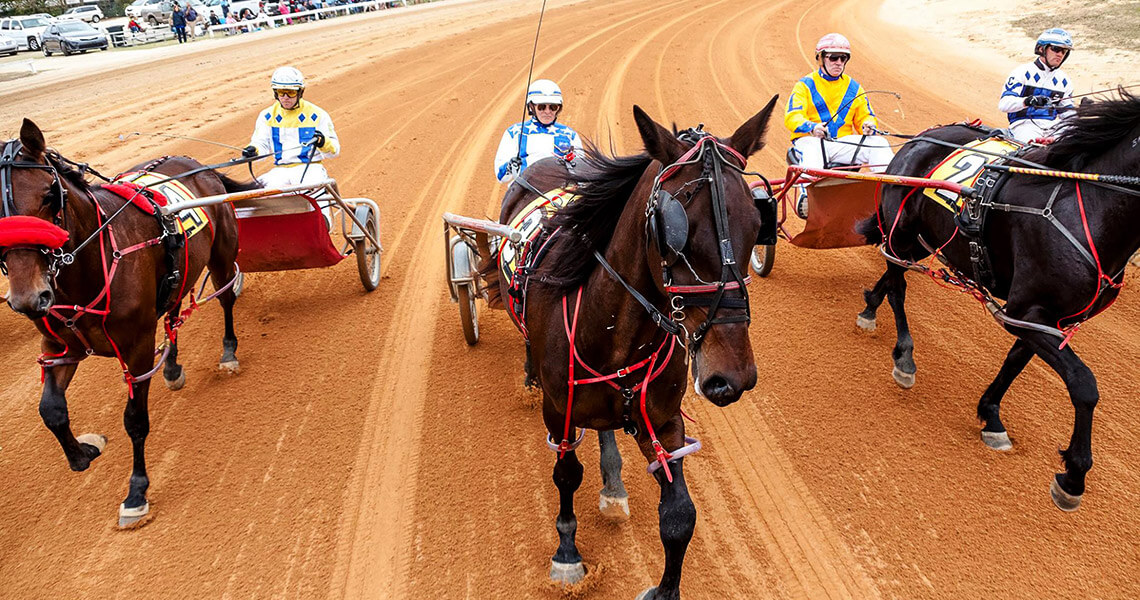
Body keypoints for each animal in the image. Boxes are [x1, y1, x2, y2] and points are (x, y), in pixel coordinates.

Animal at [0, 119, 255, 527]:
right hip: (177, 273)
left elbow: (135, 420)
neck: (92, 264)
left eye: (49, 195)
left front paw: (137, 492)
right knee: (172, 313)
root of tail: (198, 165)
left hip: (220, 256)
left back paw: (228, 352)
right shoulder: (60, 345)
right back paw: (171, 366)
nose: (28, 298)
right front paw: (82, 453)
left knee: (227, 298)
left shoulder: (135, 347)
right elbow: (51, 410)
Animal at [487, 98, 777, 600]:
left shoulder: (661, 420)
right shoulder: (559, 411)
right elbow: (566, 475)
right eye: (676, 230)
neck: (614, 336)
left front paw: (664, 589)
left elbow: (680, 517)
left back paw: (613, 481)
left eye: (759, 221)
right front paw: (568, 556)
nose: (732, 378)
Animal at [856, 90, 1140, 511]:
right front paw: (1073, 475)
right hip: (902, 230)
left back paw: (870, 305)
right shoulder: (1027, 311)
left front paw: (990, 416)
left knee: (891, 277)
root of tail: (921, 137)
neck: (1090, 208)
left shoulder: (1043, 317)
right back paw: (904, 355)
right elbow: (1084, 385)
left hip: (923, 238)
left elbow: (1015, 361)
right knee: (897, 283)